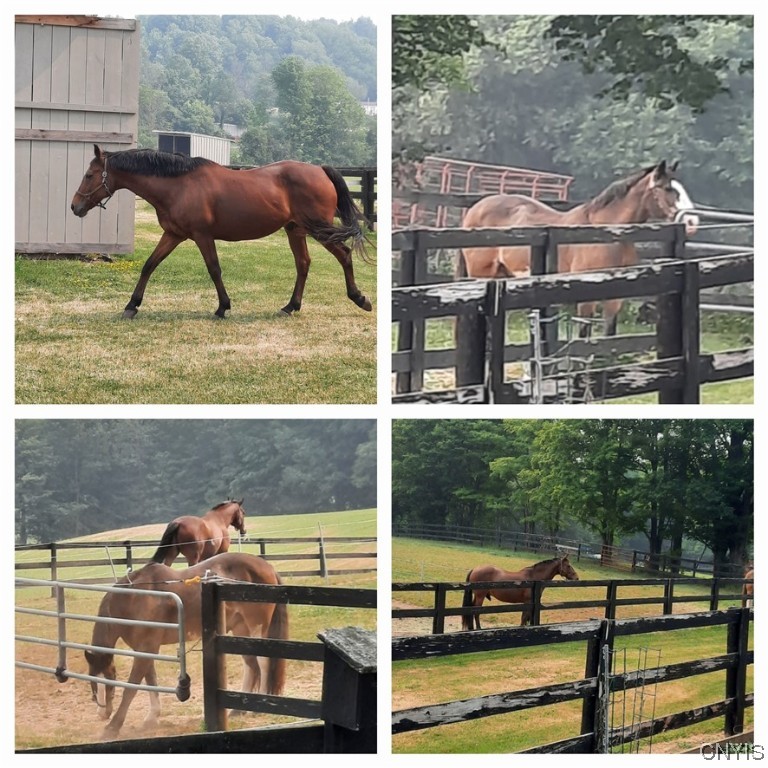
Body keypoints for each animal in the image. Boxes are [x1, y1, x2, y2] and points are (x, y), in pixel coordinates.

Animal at [70, 145, 373, 319]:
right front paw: (132, 305)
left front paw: (222, 307)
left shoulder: (202, 236)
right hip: (295, 231)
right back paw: (291, 306)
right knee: (303, 264)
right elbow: (149, 265)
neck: (178, 185)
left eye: (89, 175)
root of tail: (320, 170)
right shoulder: (173, 235)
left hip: (318, 229)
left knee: (344, 254)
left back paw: (359, 298)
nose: (75, 206)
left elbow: (214, 269)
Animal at [84, 552, 288, 739]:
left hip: (256, 627)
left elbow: (131, 688)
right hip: (240, 629)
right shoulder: (146, 649)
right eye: (92, 679)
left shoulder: (146, 648)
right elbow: (151, 681)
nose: (102, 713)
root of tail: (268, 567)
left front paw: (113, 727)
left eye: (109, 678)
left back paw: (259, 706)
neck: (135, 598)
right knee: (251, 666)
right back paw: (238, 711)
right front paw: (151, 718)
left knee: (263, 663)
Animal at [458, 160, 699, 335]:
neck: (607, 235)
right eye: (667, 189)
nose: (692, 222)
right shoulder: (586, 299)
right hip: (482, 275)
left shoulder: (615, 299)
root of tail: (475, 209)